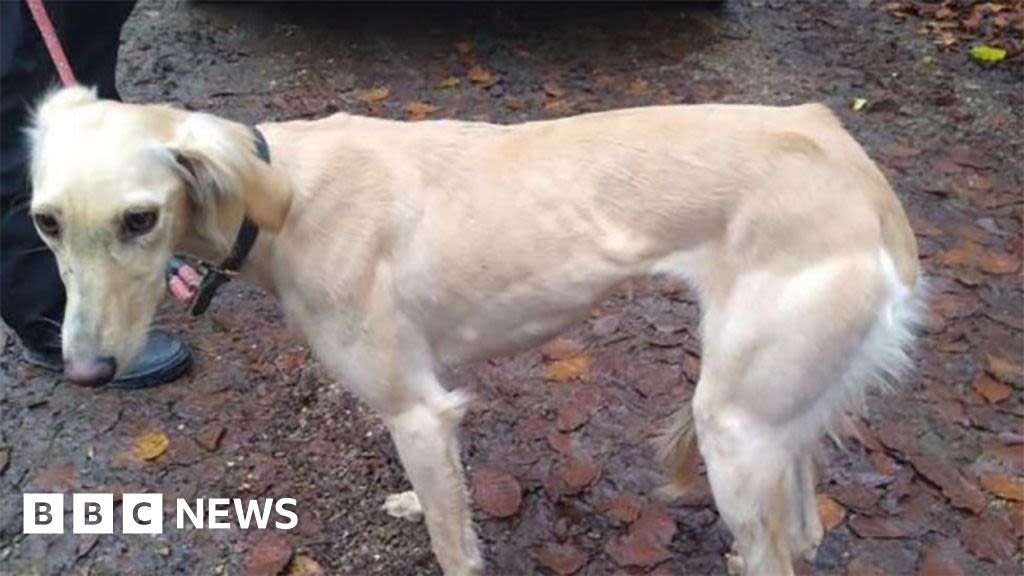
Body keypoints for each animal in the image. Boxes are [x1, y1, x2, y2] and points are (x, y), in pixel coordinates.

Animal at [28, 86, 925, 573]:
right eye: (44, 221)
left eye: (139, 219)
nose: (85, 372)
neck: (279, 197)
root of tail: (852, 162)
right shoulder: (430, 415)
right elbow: (438, 500)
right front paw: (408, 501)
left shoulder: (418, 410)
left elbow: (453, 542)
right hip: (768, 412)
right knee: (803, 528)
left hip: (732, 426)